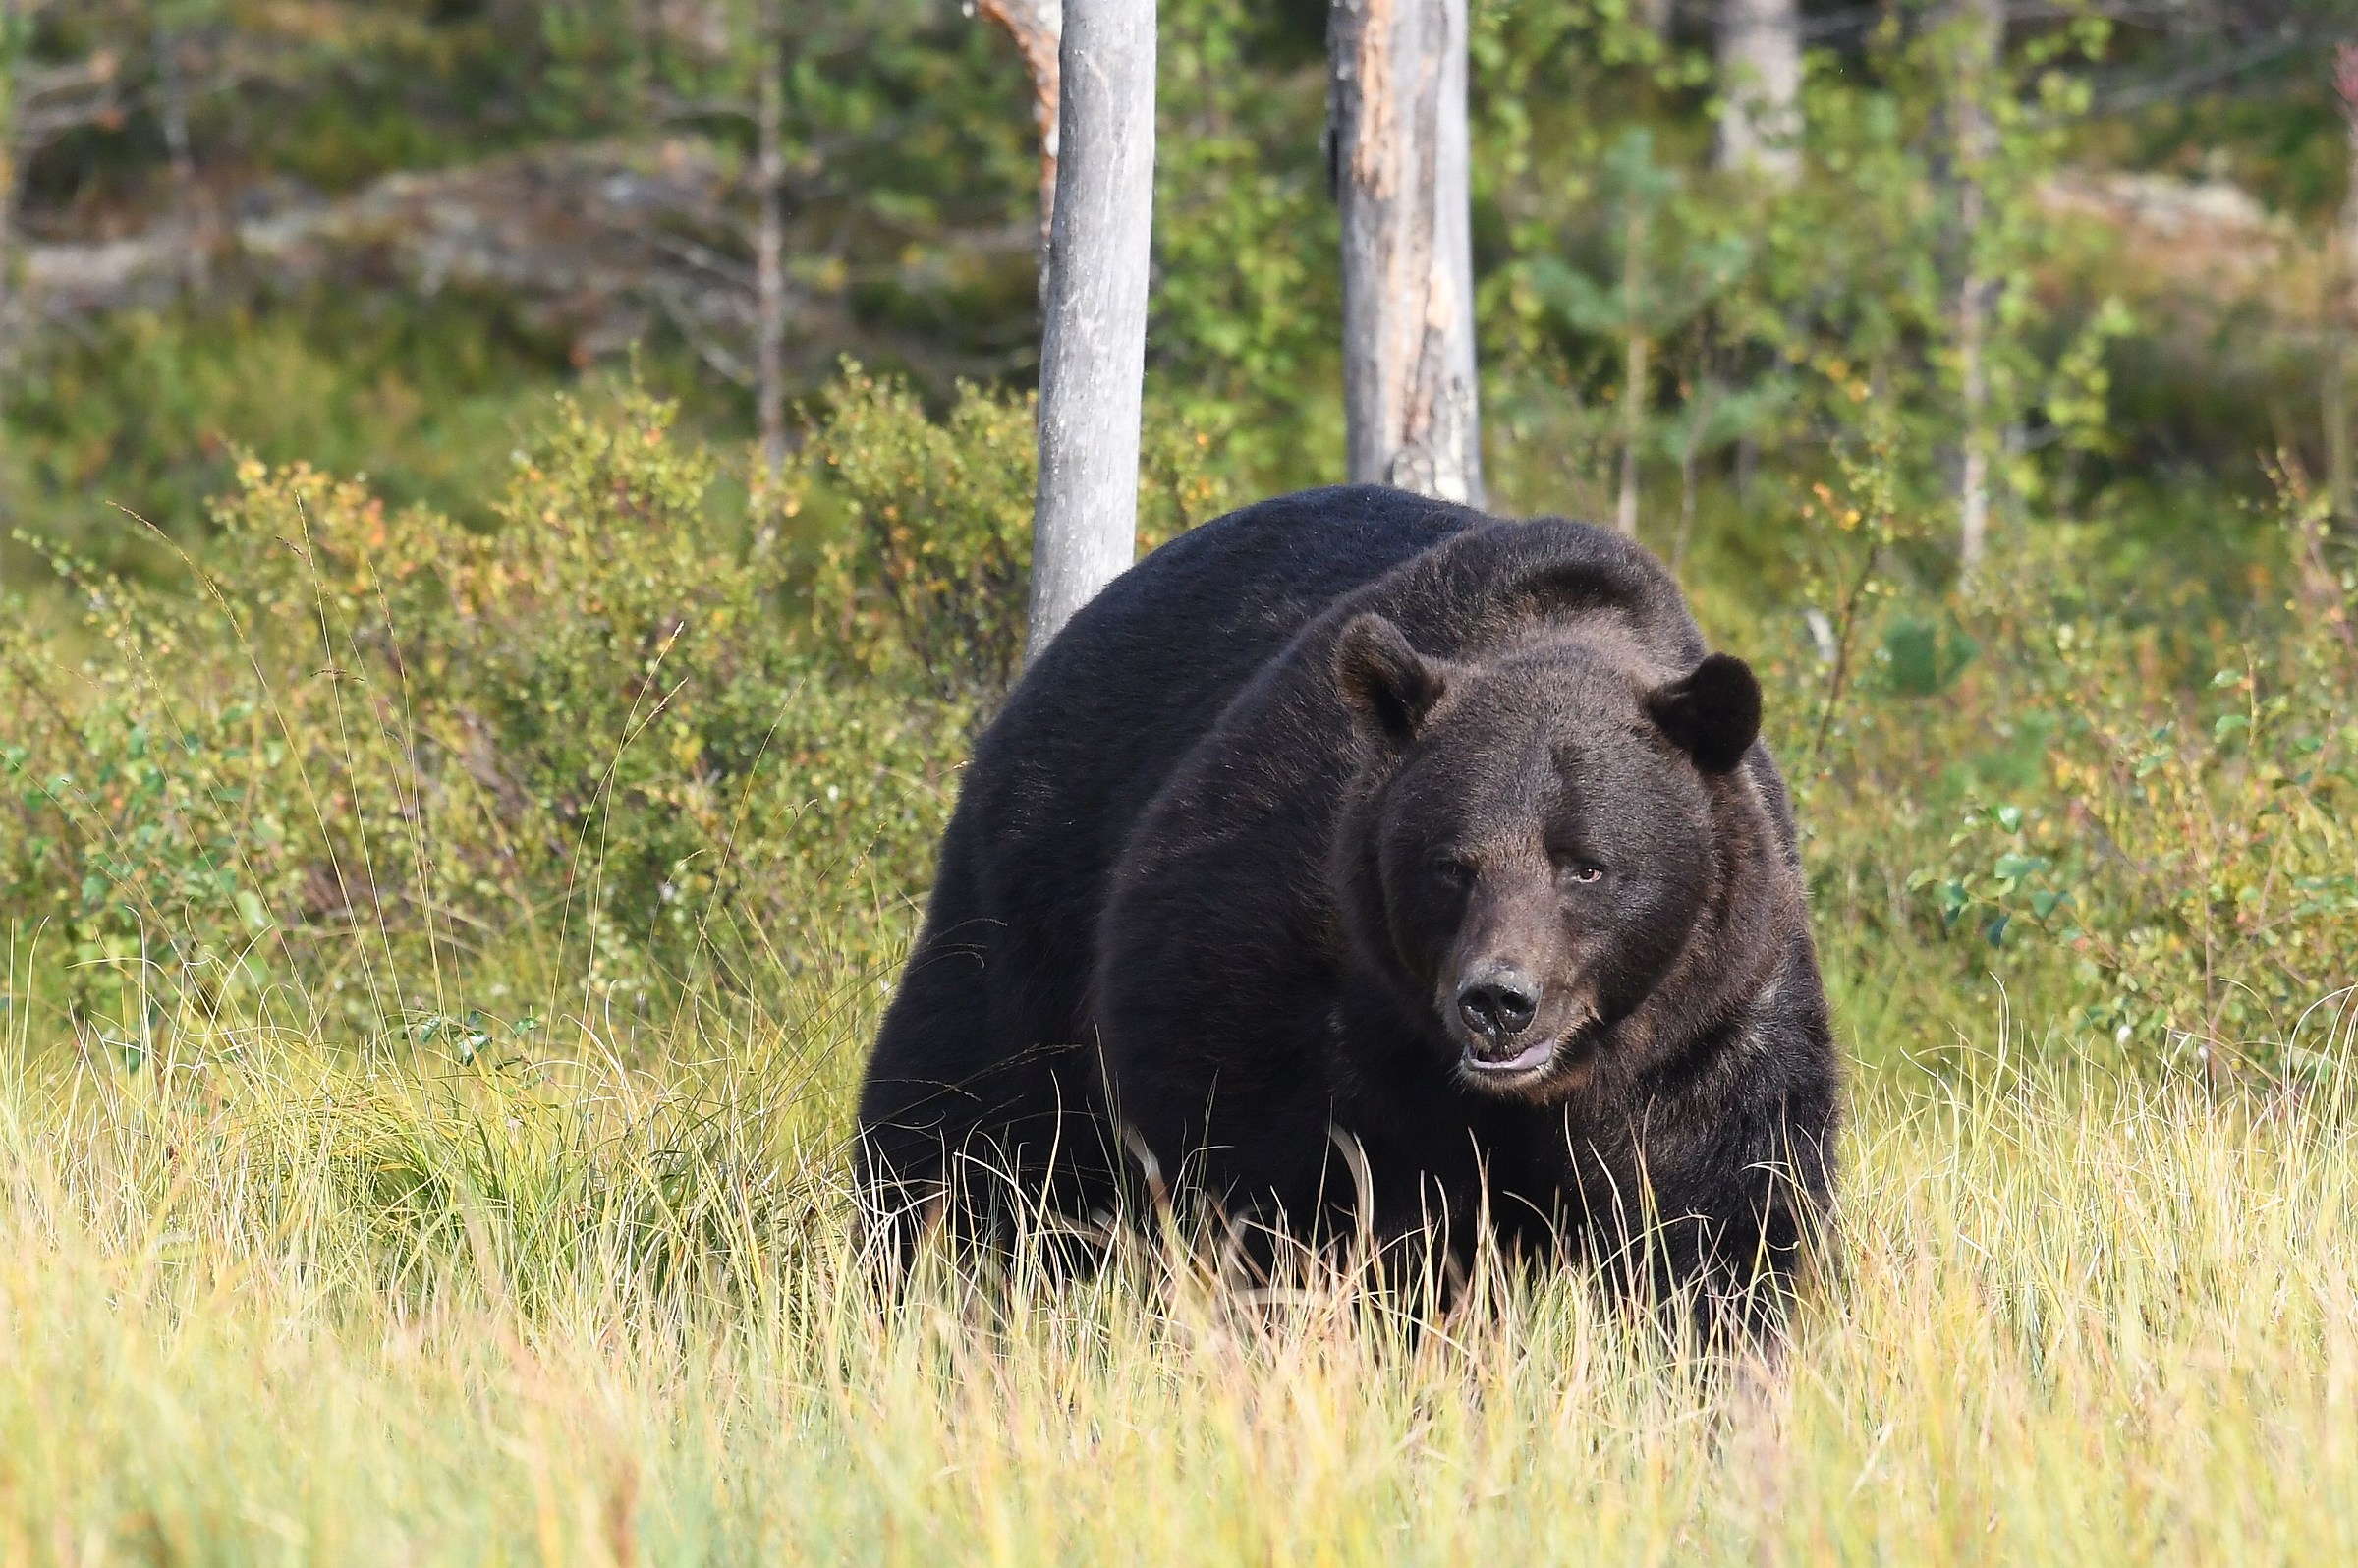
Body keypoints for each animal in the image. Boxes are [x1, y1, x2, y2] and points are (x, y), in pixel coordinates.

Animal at [856, 484, 1839, 1337]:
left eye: (1587, 866)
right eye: (1450, 866)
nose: (1498, 1001)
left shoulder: (1705, 1021)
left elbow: (1716, 1218)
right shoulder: (1288, 962)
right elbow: (1300, 1188)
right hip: (1039, 881)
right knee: (969, 1117)